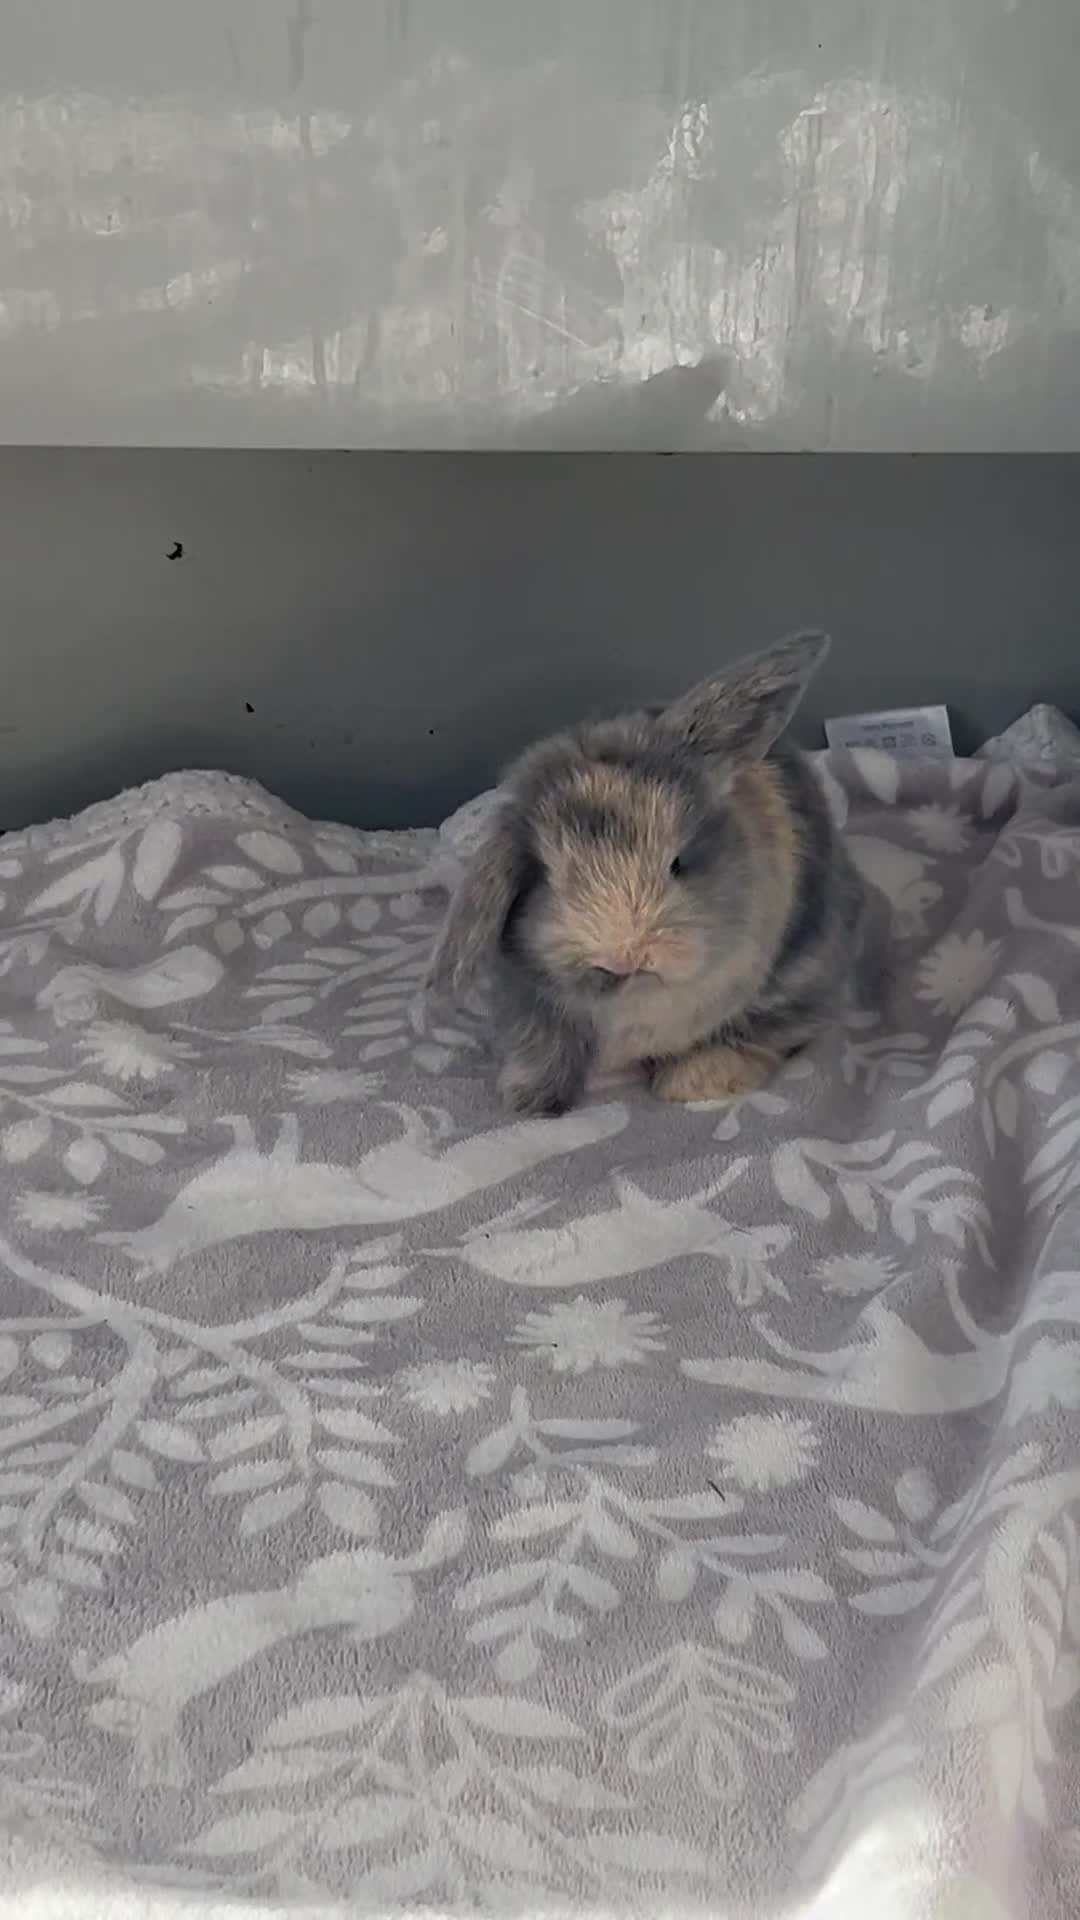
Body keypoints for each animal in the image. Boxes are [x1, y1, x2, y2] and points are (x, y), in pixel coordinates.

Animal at [427, 630, 866, 1115]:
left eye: (677, 863)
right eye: (548, 877)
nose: (626, 957)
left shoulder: (793, 986)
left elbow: (752, 1035)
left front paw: (692, 1084)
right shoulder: (530, 1010)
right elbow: (543, 1050)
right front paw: (530, 1102)